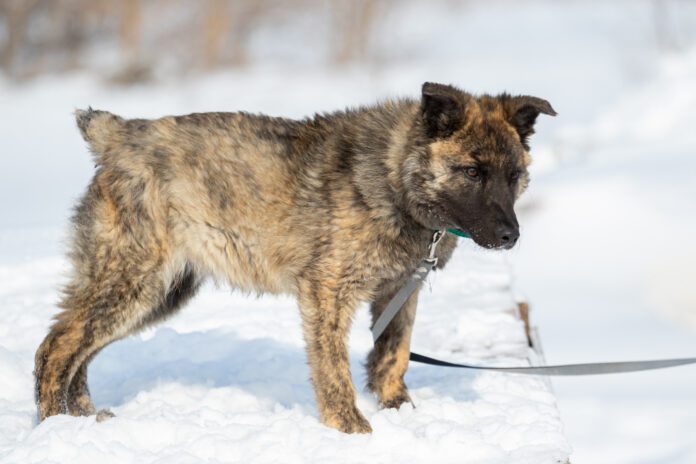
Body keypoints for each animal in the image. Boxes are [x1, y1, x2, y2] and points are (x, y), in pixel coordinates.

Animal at [35, 81, 556, 434]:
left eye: (514, 175)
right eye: (472, 171)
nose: (510, 236)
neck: (394, 180)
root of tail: (118, 134)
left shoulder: (399, 291)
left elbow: (393, 354)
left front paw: (399, 412)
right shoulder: (327, 293)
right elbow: (334, 370)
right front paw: (353, 431)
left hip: (160, 292)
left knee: (78, 351)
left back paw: (82, 420)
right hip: (134, 281)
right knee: (56, 347)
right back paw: (55, 427)